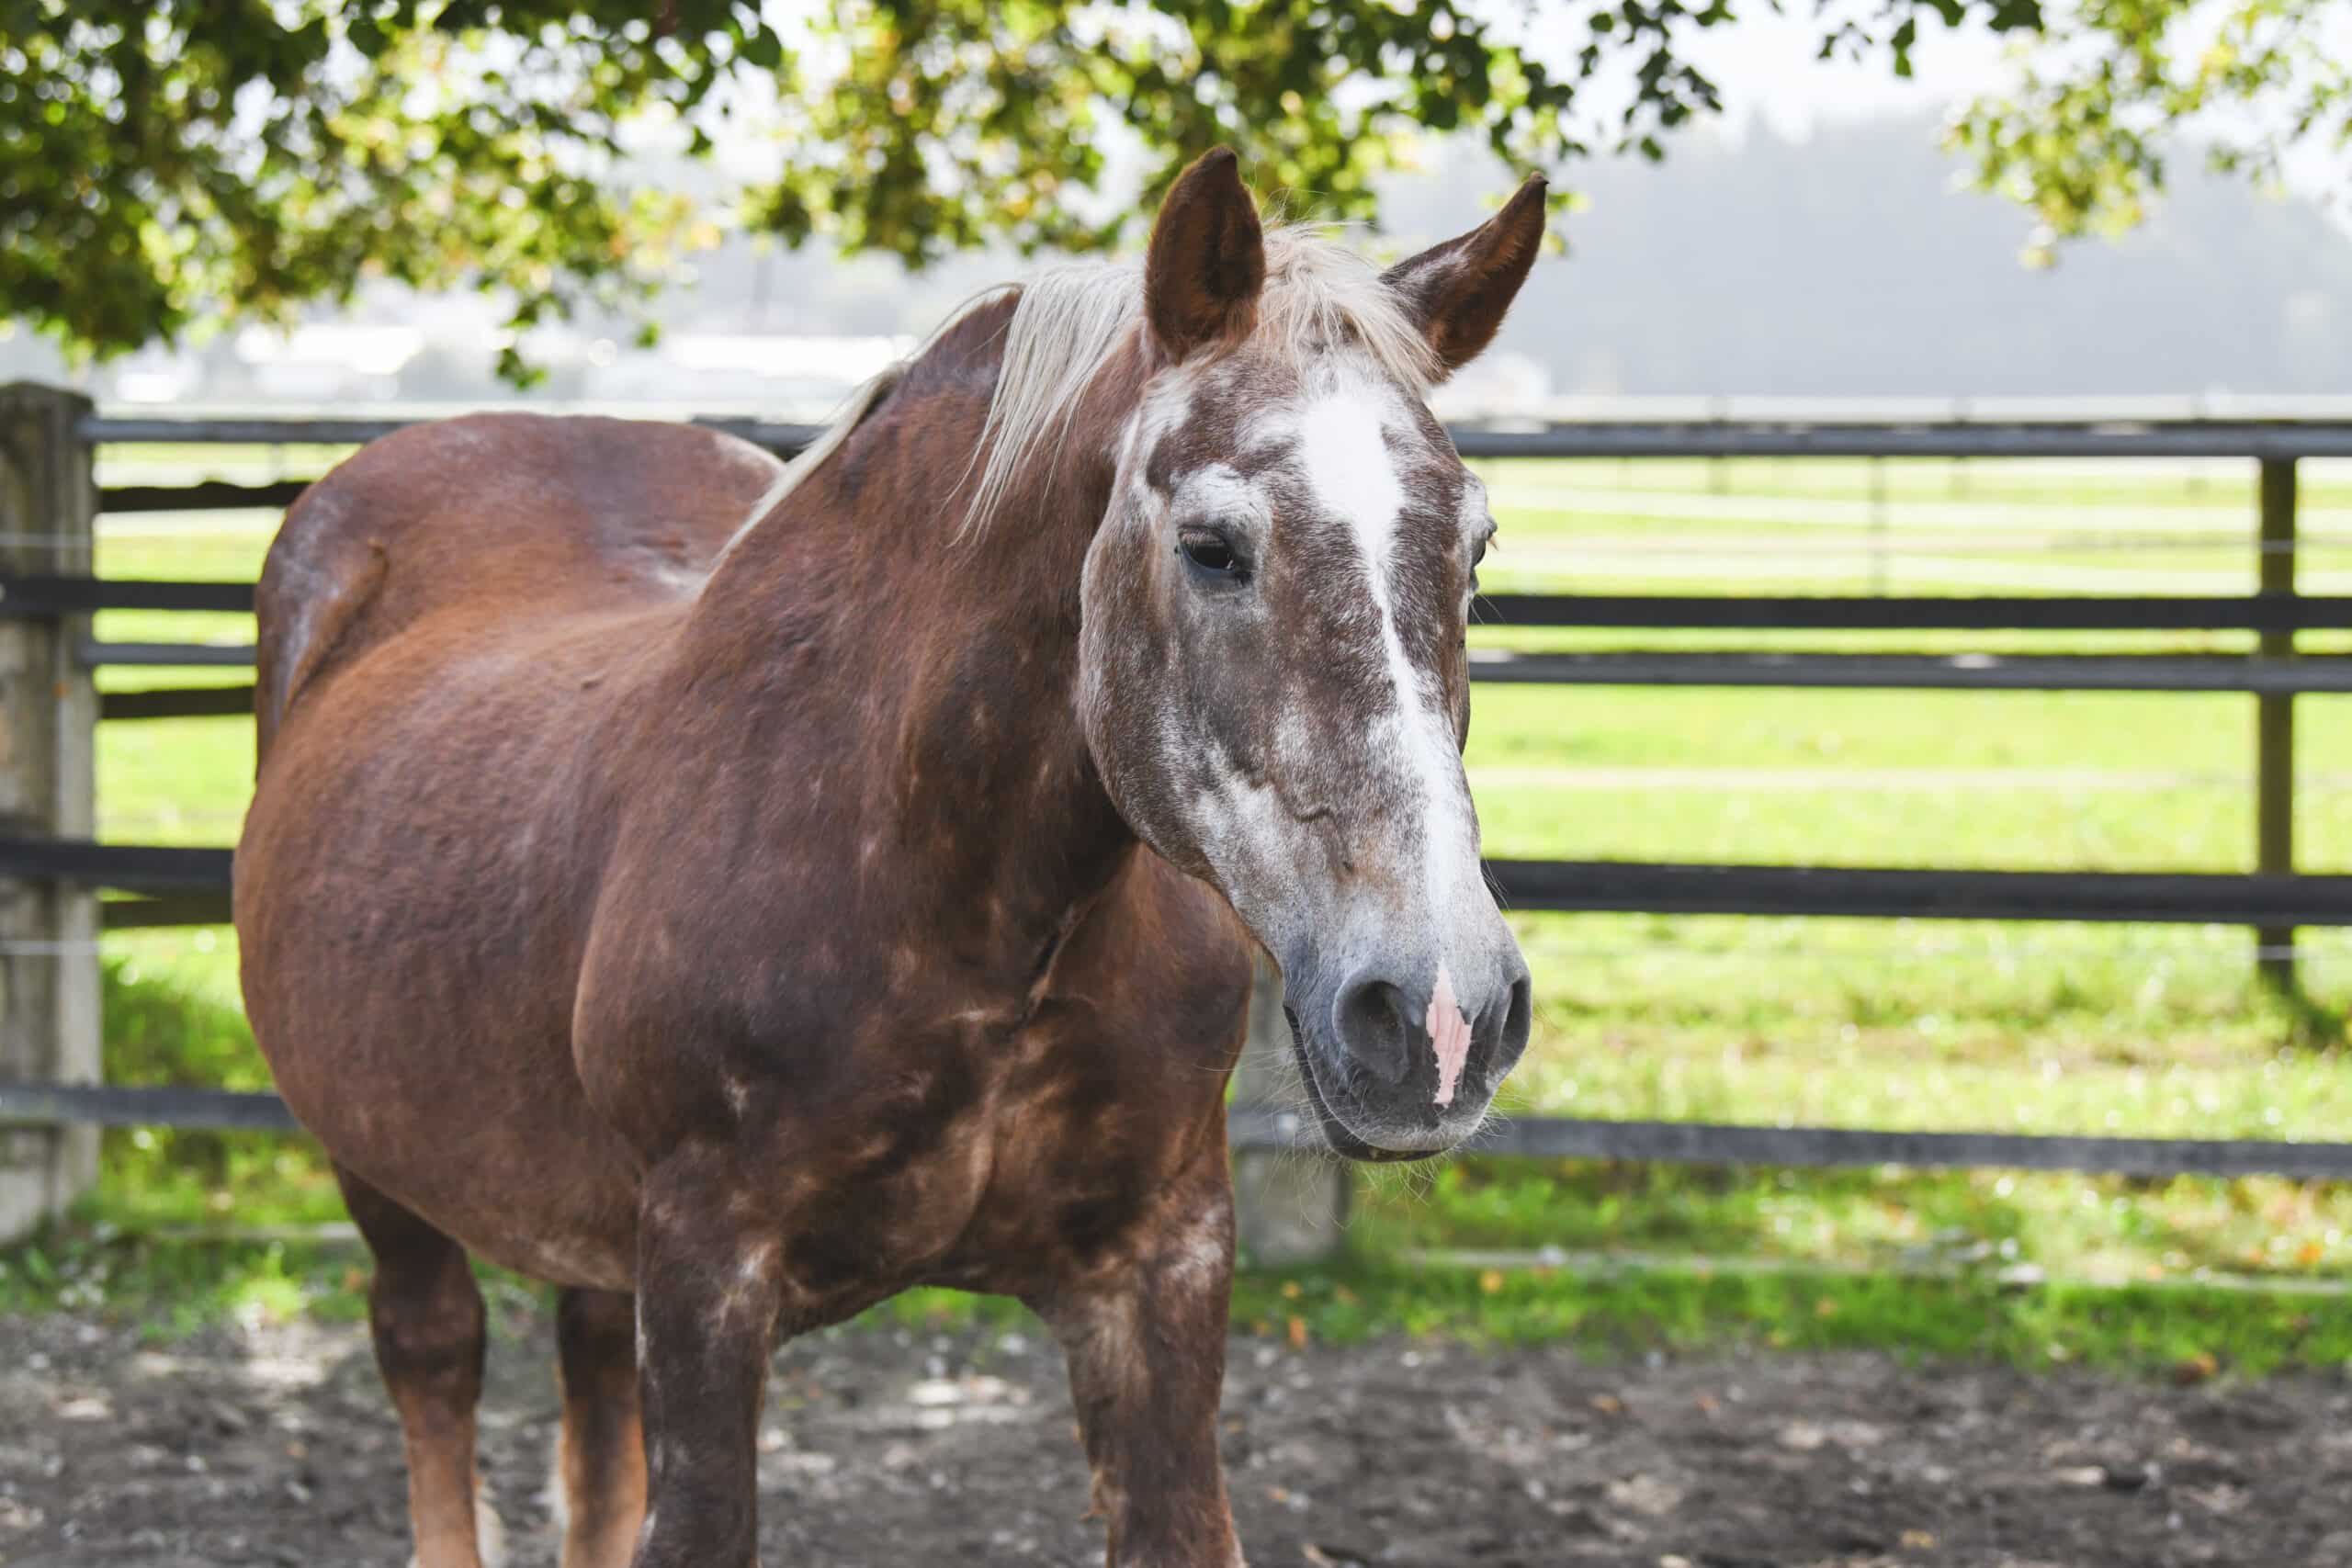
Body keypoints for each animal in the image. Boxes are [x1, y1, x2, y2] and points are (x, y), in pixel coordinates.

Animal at [238, 150, 1552, 1568]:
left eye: (1473, 544)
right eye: (1211, 546)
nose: (1438, 1014)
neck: (962, 903)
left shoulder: (1164, 1264)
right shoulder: (703, 1276)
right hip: (377, 1162)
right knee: (434, 1354)